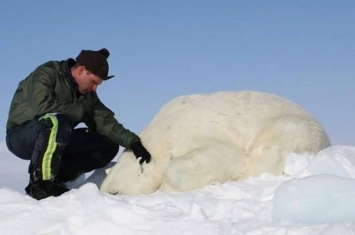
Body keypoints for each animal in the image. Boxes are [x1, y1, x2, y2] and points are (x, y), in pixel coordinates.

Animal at [100, 90, 330, 195]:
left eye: (115, 192)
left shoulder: (194, 130)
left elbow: (227, 156)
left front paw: (166, 187)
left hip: (294, 128)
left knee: (268, 151)